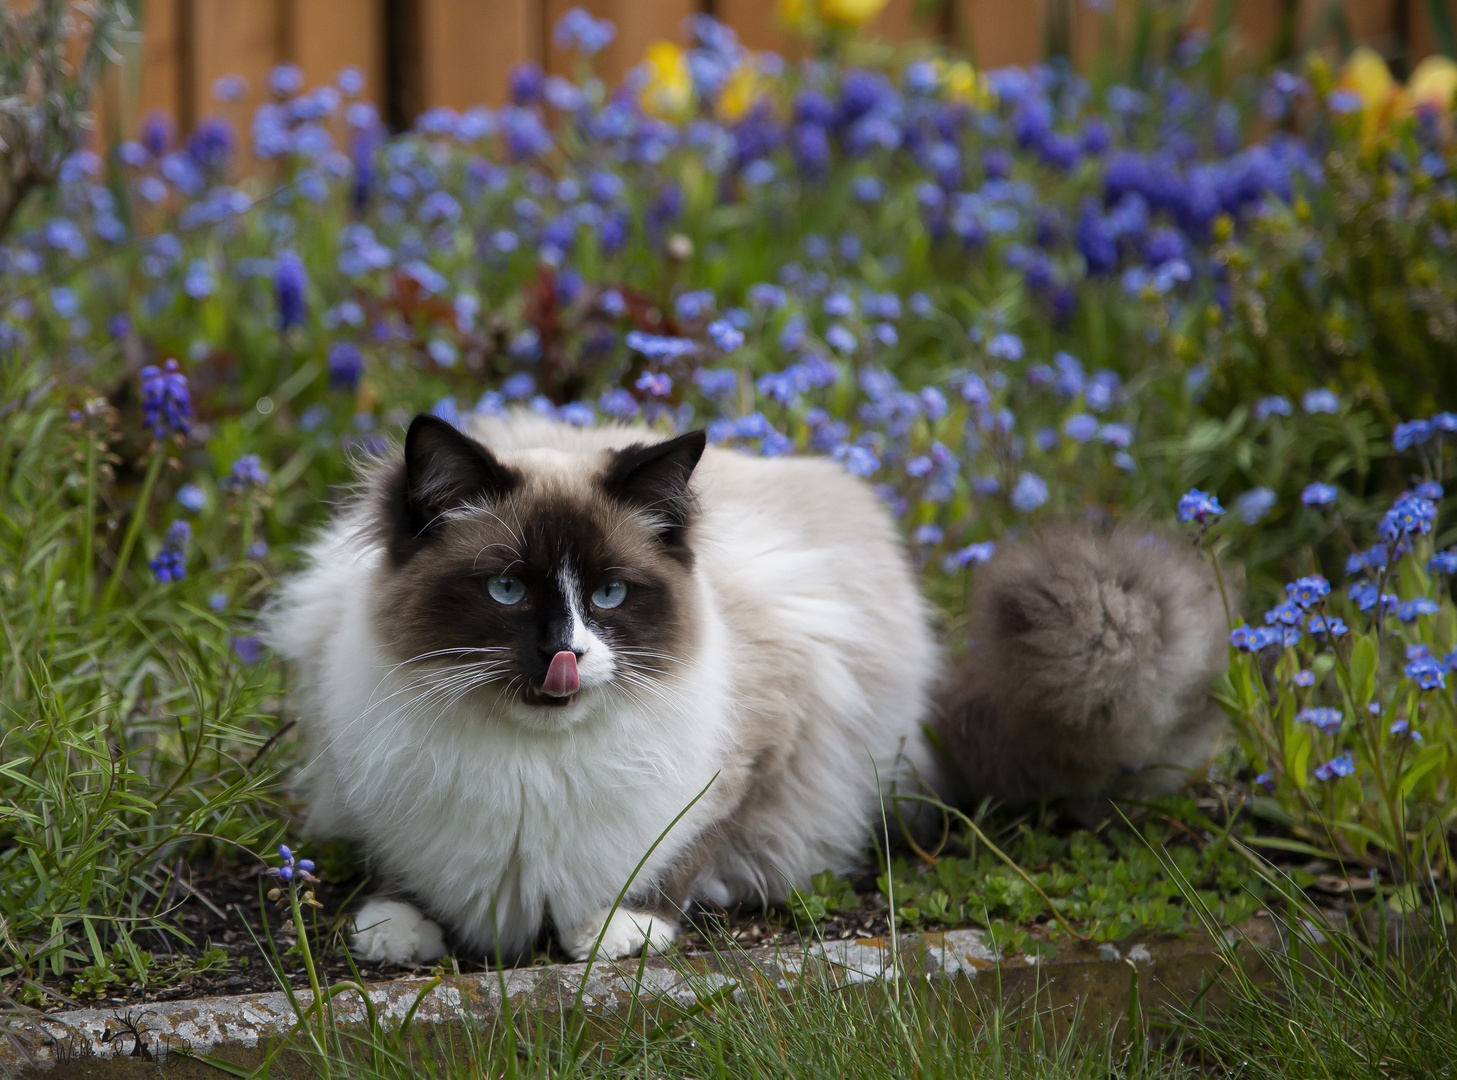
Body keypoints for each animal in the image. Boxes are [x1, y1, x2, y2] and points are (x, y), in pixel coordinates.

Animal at [263, 411, 938, 961]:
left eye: (609, 594)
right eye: (507, 589)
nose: (566, 653)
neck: (532, 766)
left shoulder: (762, 748)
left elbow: (684, 851)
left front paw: (620, 930)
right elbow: (395, 857)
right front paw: (396, 928)